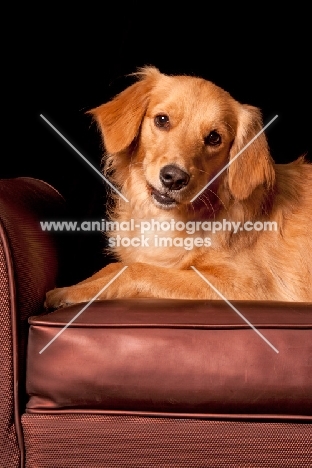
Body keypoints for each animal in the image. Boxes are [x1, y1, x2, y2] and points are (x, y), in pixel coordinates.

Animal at [45, 66, 312, 308]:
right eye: (162, 120)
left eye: (214, 138)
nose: (173, 178)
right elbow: (116, 266)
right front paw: (77, 285)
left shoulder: (249, 286)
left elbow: (137, 270)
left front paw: (71, 292)